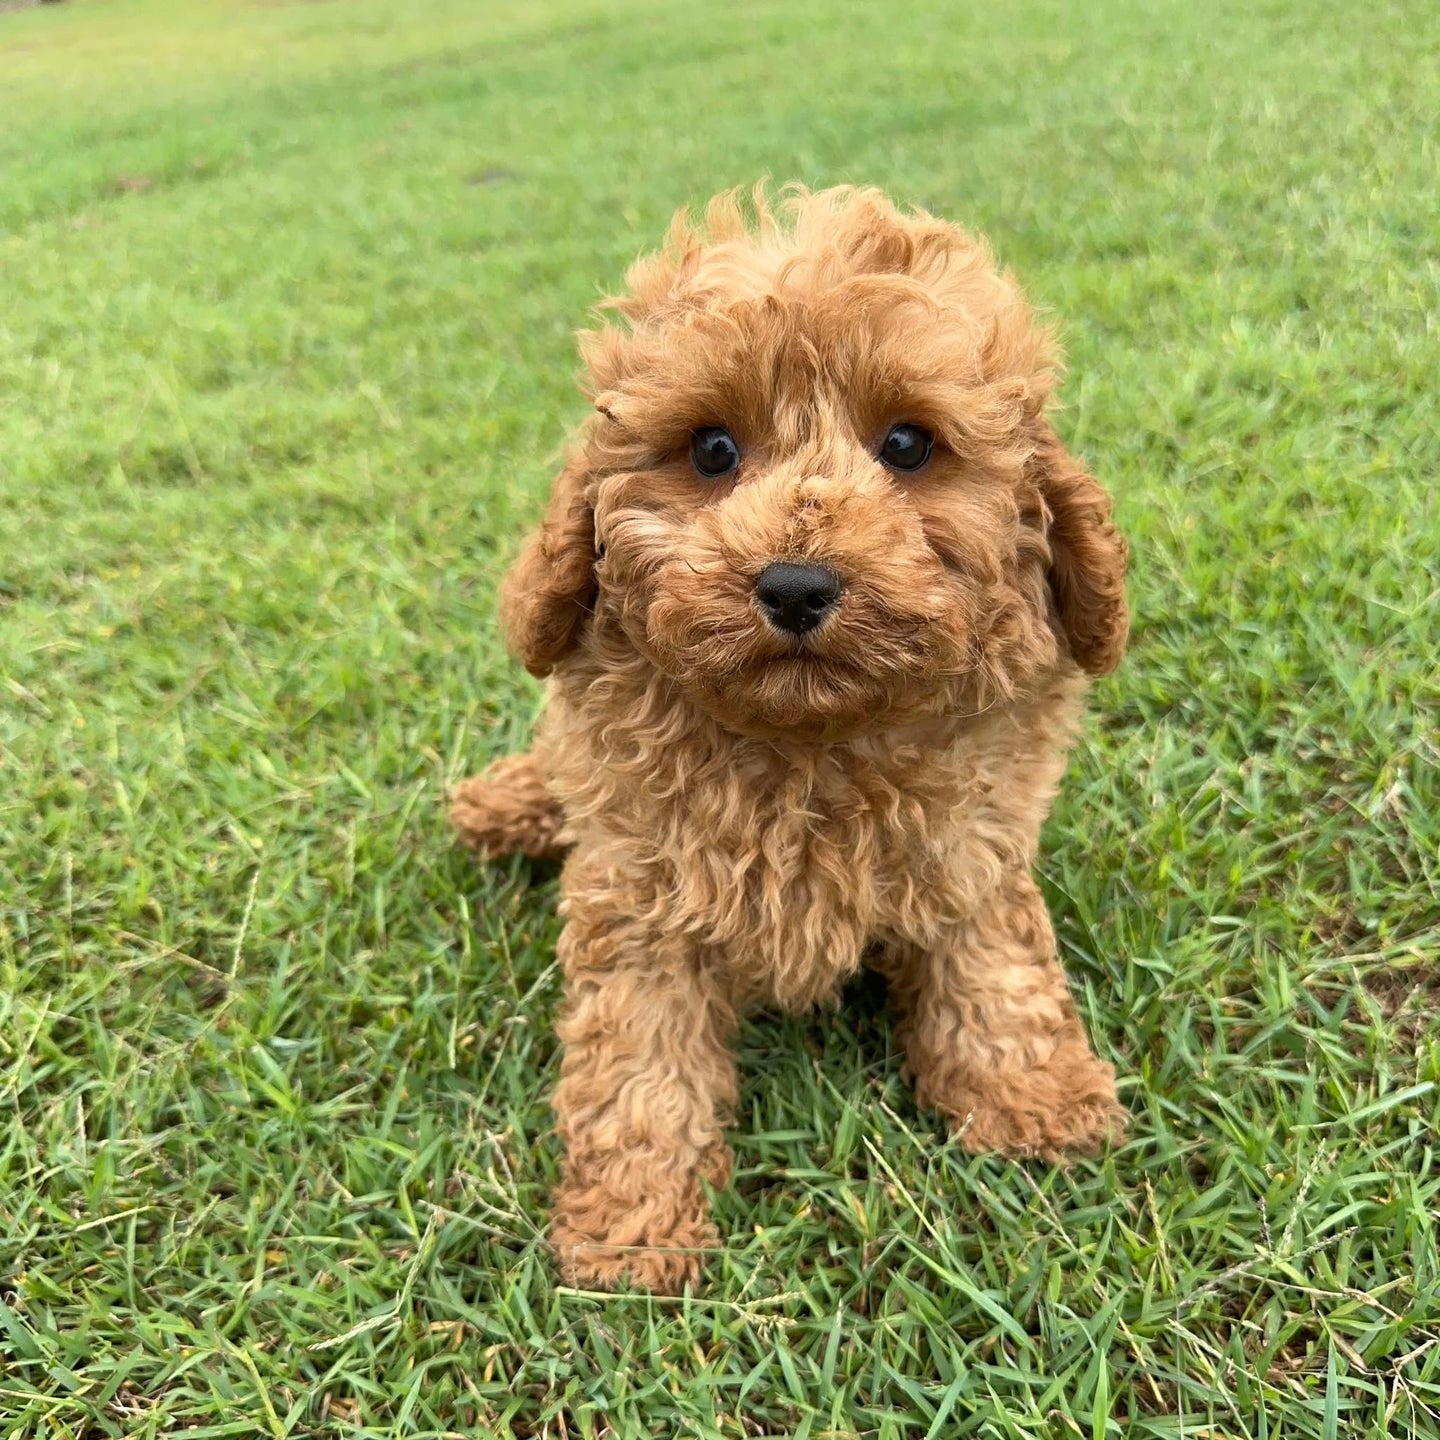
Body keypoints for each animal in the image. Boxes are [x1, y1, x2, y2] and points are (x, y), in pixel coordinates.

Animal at [455, 185, 1128, 1301]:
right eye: (712, 451)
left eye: (907, 445)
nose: (797, 586)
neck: (809, 738)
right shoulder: (639, 891)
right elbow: (636, 1063)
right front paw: (633, 1232)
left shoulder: (968, 844)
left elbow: (996, 963)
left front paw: (1034, 1097)